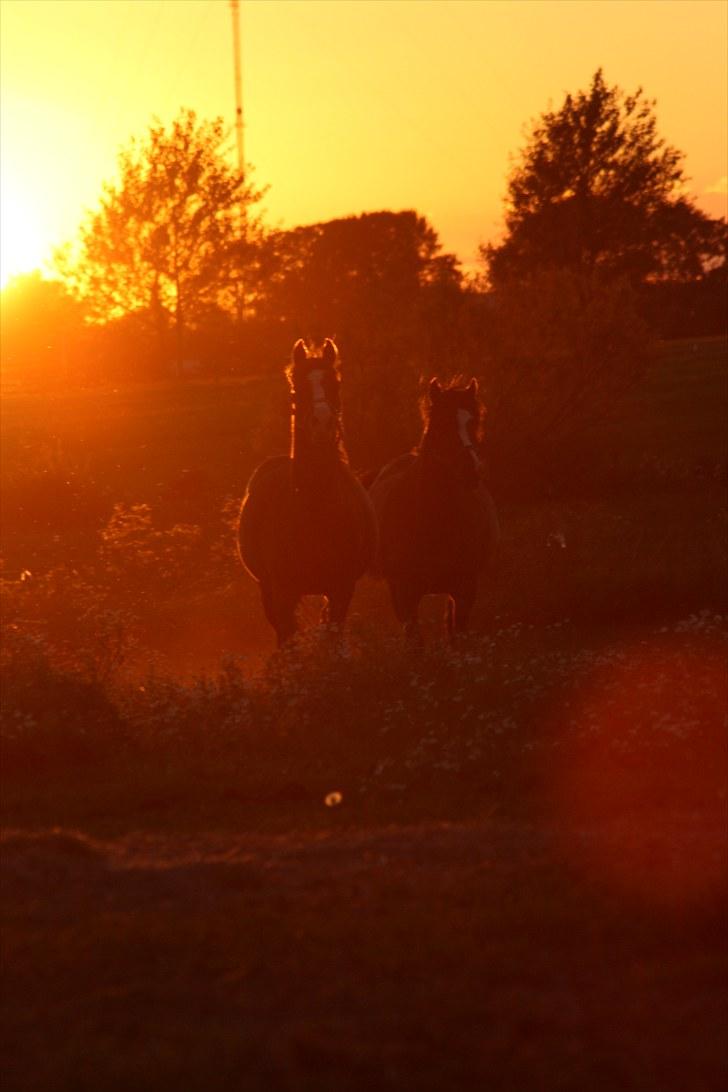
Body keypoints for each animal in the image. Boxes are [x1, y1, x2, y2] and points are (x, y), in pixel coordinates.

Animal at [238, 338, 377, 647]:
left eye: (336, 384)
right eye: (297, 390)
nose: (322, 423)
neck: (313, 511)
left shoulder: (341, 590)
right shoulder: (282, 593)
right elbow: (288, 641)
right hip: (268, 592)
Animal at [368, 377, 499, 639]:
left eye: (475, 422)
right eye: (441, 424)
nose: (471, 471)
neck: (434, 519)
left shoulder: (465, 590)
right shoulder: (405, 592)